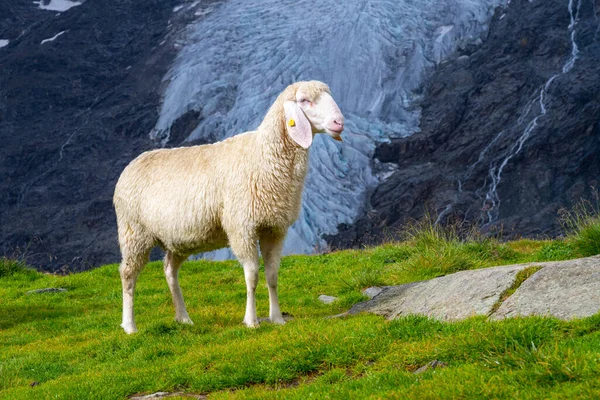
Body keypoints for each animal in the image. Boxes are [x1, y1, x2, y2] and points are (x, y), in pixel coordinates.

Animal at [114, 81, 344, 334]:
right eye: (304, 101)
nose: (339, 122)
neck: (264, 156)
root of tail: (132, 164)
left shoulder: (274, 228)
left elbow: (272, 275)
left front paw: (277, 318)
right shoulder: (242, 227)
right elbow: (252, 275)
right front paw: (251, 321)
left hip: (177, 239)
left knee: (169, 270)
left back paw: (183, 318)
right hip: (134, 232)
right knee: (128, 274)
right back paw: (129, 325)